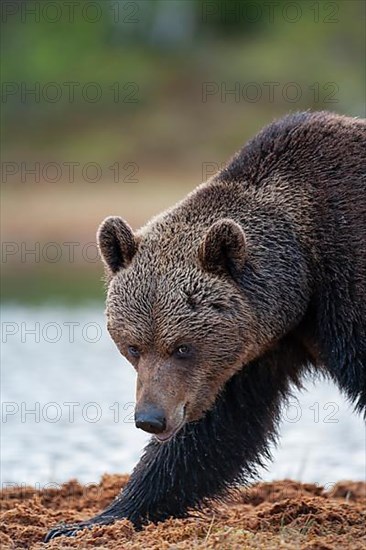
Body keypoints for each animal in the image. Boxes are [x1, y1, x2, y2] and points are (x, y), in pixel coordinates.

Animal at [45, 110, 366, 540]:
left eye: (182, 346)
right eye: (133, 347)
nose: (150, 419)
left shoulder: (344, 285)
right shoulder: (249, 355)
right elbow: (214, 432)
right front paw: (91, 521)